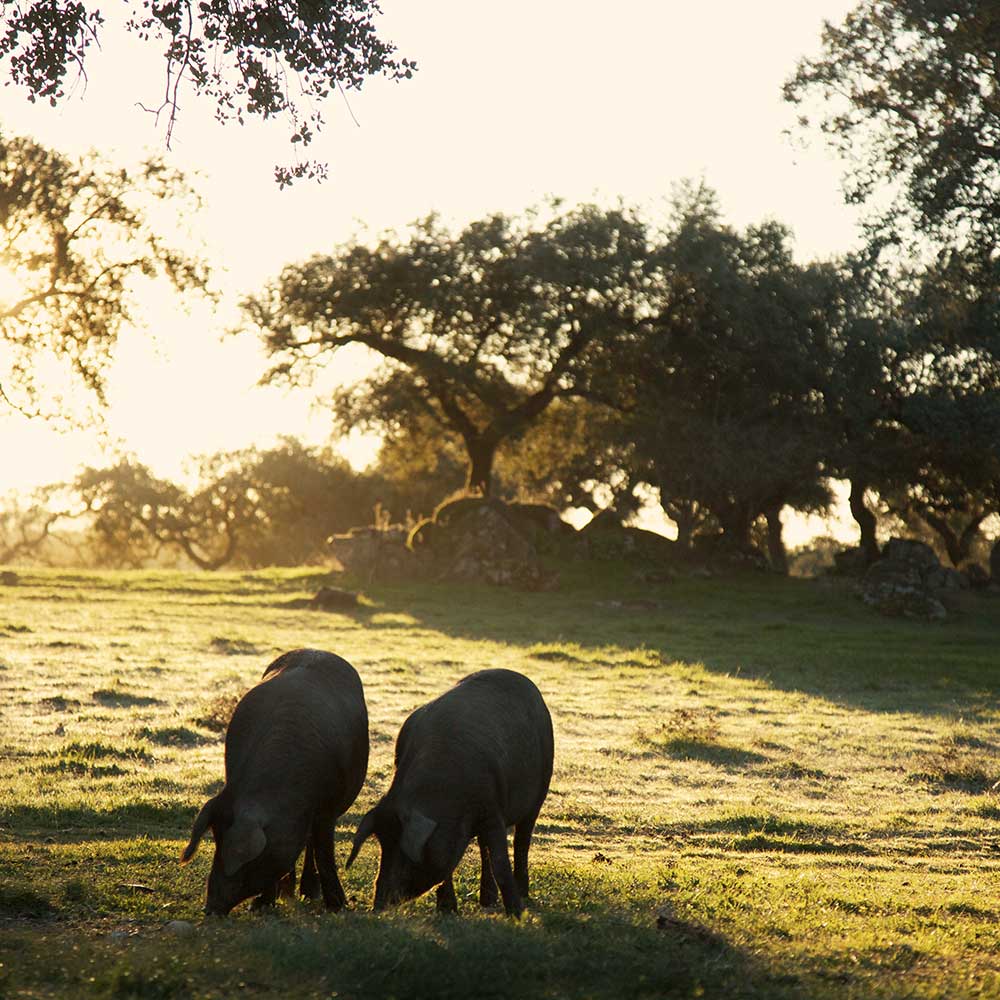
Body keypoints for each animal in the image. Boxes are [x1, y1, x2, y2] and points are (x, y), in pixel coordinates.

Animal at [179, 648, 368, 916]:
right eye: (216, 840)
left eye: (241, 856)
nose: (210, 908)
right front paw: (262, 904)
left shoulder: (328, 809)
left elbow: (324, 852)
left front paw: (337, 907)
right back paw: (288, 891)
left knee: (311, 844)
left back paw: (309, 893)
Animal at [348, 668, 556, 916]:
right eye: (383, 846)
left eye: (402, 852)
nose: (378, 905)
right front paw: (447, 910)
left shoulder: (492, 808)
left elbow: (500, 861)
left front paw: (517, 914)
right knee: (484, 848)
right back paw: (487, 901)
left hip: (540, 789)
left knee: (521, 841)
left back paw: (522, 894)